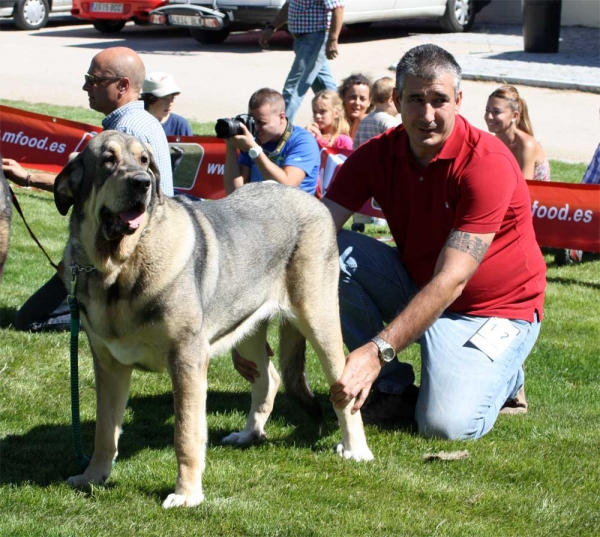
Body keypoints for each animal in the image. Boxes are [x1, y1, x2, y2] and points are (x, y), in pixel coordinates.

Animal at [56, 130, 376, 506]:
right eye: (108, 160)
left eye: (145, 161)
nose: (142, 183)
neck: (118, 266)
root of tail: (310, 200)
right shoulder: (109, 365)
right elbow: (104, 430)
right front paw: (93, 476)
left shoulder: (187, 360)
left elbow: (186, 434)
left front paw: (186, 494)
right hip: (248, 325)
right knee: (269, 378)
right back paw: (249, 433)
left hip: (319, 320)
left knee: (344, 393)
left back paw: (356, 449)